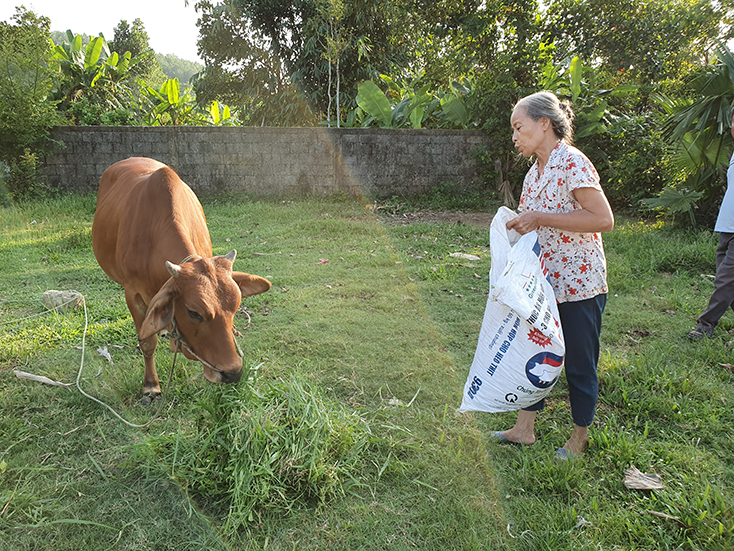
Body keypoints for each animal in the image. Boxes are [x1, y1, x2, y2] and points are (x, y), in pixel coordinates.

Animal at [93, 157, 272, 398]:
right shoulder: (132, 292)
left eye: (236, 307)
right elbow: (147, 341)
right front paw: (151, 386)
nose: (232, 373)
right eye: (194, 312)